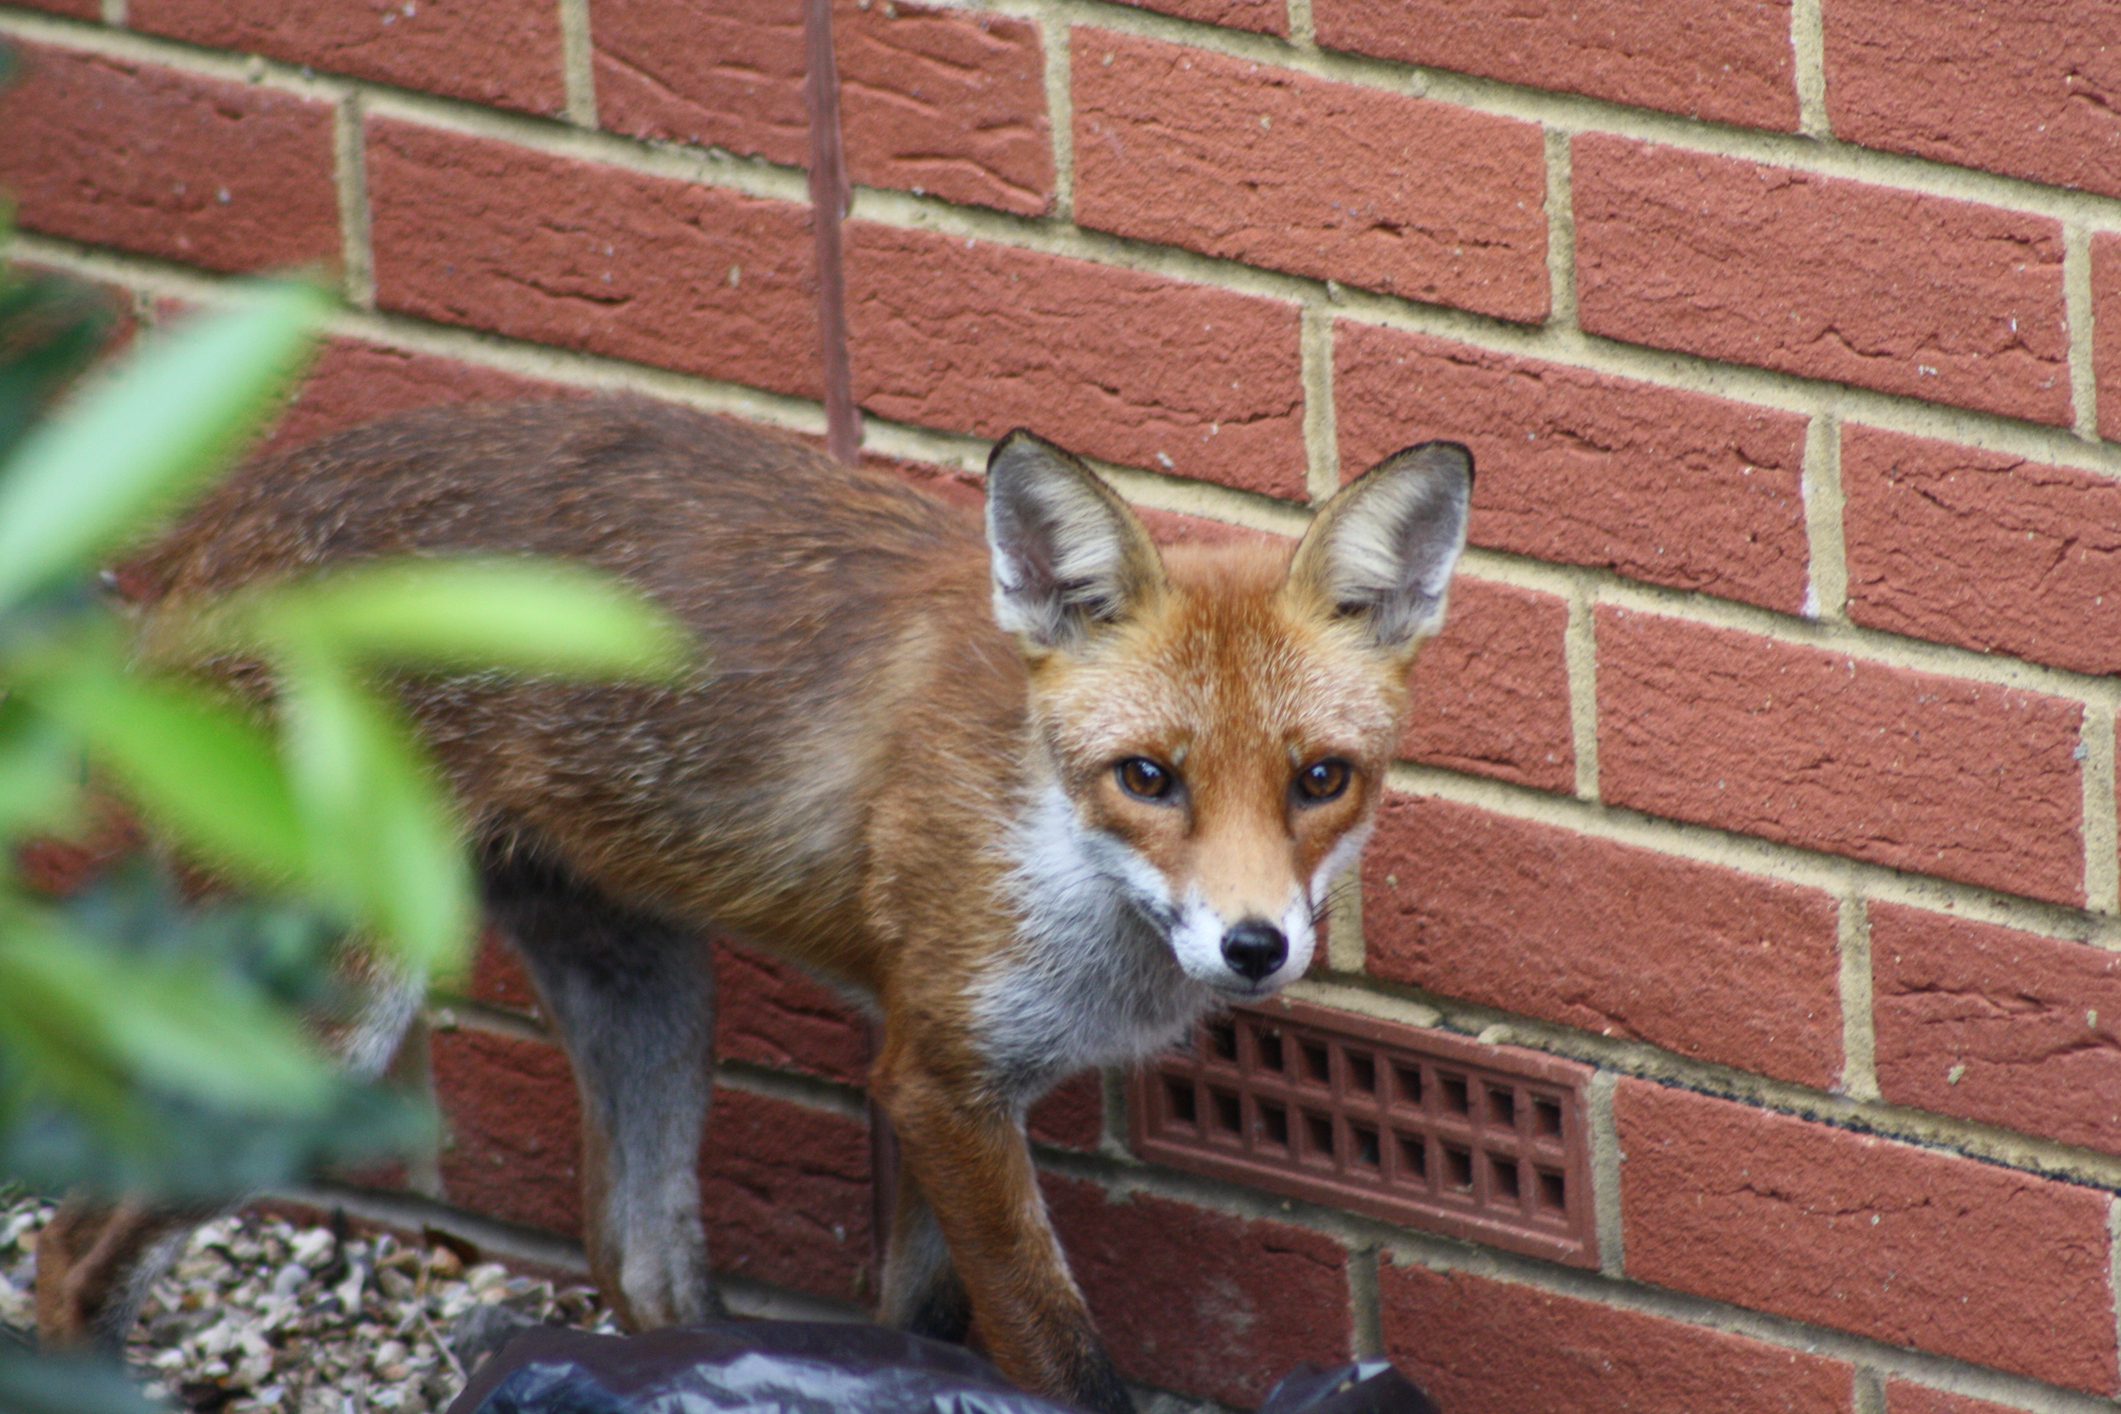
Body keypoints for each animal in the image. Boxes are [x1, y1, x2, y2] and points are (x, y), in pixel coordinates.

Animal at [35, 398, 1472, 1412]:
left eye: (1320, 779)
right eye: (1149, 778)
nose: (1254, 945)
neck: (1057, 848)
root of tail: (205, 533)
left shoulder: (951, 1086)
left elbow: (924, 1324)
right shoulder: (937, 1079)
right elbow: (1061, 1354)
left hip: (647, 983)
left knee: (638, 1254)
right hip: (312, 1026)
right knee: (69, 1246)